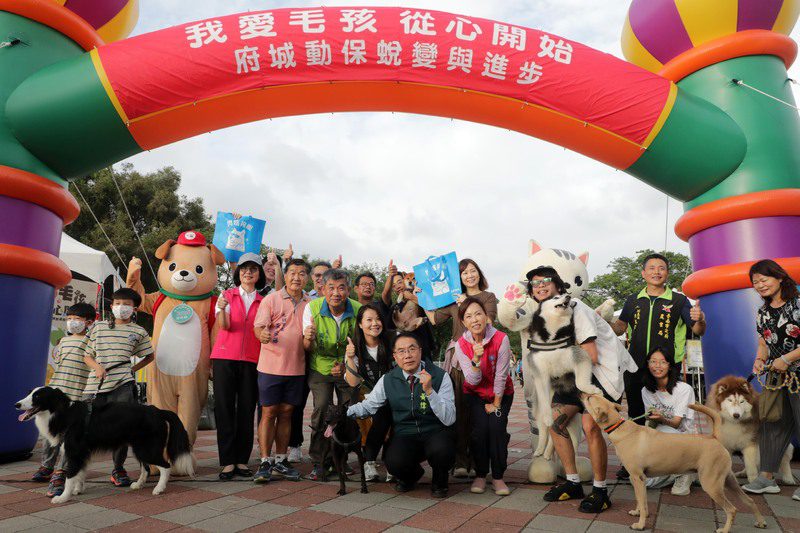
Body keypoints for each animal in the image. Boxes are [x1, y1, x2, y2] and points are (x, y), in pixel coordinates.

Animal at [15, 386, 194, 502]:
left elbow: (70, 475)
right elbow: (80, 472)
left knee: (165, 465)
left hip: (147, 448)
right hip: (139, 447)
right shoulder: (83, 452)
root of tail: (158, 411)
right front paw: (78, 490)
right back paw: (138, 485)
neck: (62, 413)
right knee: (146, 467)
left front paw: (63, 497)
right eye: (29, 394)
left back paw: (159, 489)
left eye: (37, 397)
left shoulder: (74, 451)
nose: (16, 404)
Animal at [126, 231, 225, 442]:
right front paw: (135, 265)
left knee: (189, 409)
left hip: (192, 383)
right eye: (172, 266)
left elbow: (215, 334)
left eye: (199, 268)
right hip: (158, 383)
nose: (184, 273)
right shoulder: (154, 299)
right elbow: (142, 297)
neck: (184, 299)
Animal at [580, 390, 768, 532]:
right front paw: (638, 513)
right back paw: (760, 521)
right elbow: (641, 501)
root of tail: (714, 438)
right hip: (729, 481)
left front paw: (640, 525)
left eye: (589, 398)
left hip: (712, 484)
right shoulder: (637, 480)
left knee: (732, 509)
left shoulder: (637, 478)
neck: (619, 428)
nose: (581, 393)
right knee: (749, 501)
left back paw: (724, 529)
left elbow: (642, 502)